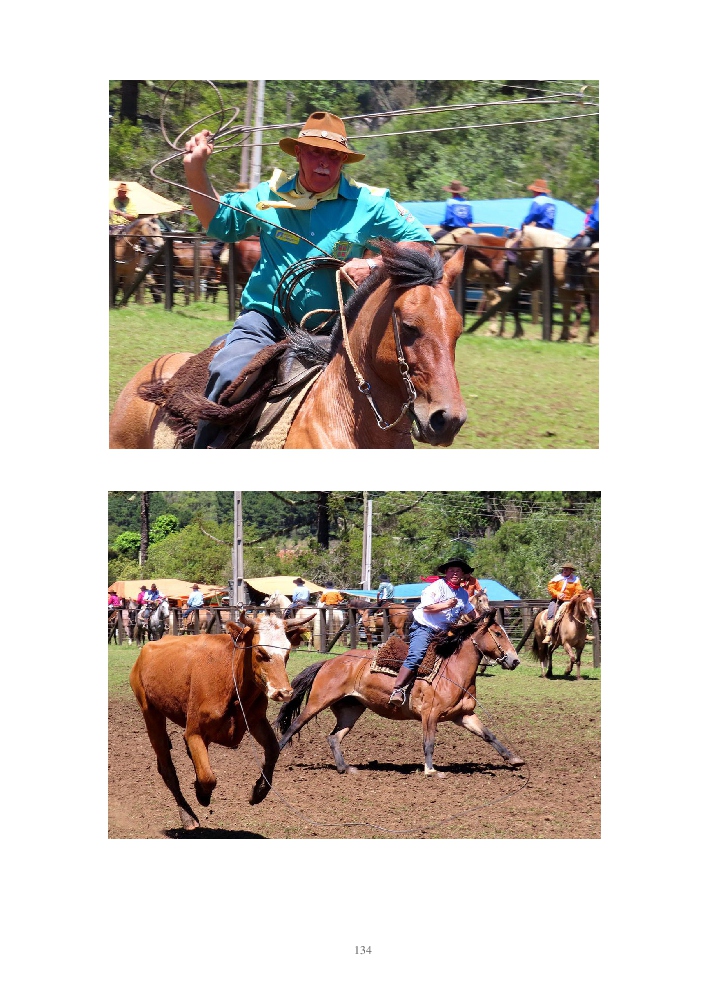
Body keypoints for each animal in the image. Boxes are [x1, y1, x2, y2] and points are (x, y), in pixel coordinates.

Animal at [129, 610, 315, 830]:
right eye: (260, 652)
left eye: (287, 653)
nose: (284, 692)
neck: (231, 679)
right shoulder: (194, 732)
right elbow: (208, 777)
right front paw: (202, 793)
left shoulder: (256, 720)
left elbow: (273, 750)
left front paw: (259, 791)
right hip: (150, 712)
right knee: (167, 768)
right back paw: (188, 816)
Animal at [275, 609, 524, 778]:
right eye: (497, 633)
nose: (514, 660)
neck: (452, 670)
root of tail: (329, 662)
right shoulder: (430, 715)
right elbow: (428, 743)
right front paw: (431, 770)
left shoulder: (463, 715)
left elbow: (489, 735)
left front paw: (514, 758)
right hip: (318, 701)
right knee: (295, 725)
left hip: (351, 709)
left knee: (334, 737)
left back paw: (345, 767)